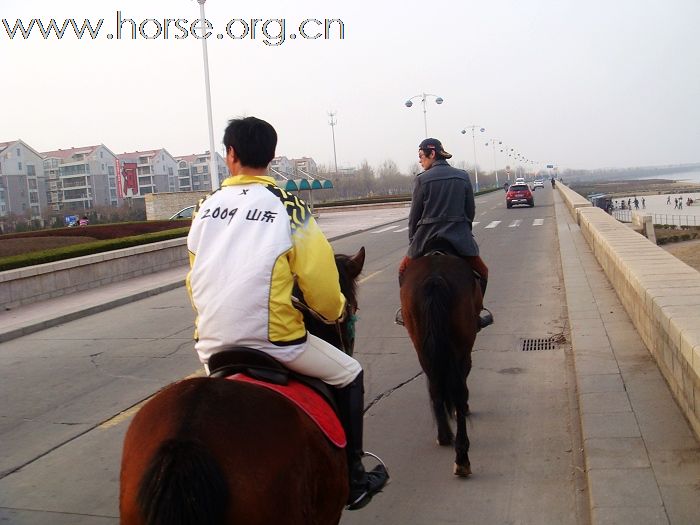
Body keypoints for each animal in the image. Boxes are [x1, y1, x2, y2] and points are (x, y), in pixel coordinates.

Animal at [400, 252, 482, 476]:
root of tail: (435, 278)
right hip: (463, 342)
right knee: (460, 391)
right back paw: (462, 457)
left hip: (420, 342)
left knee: (435, 385)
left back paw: (444, 435)